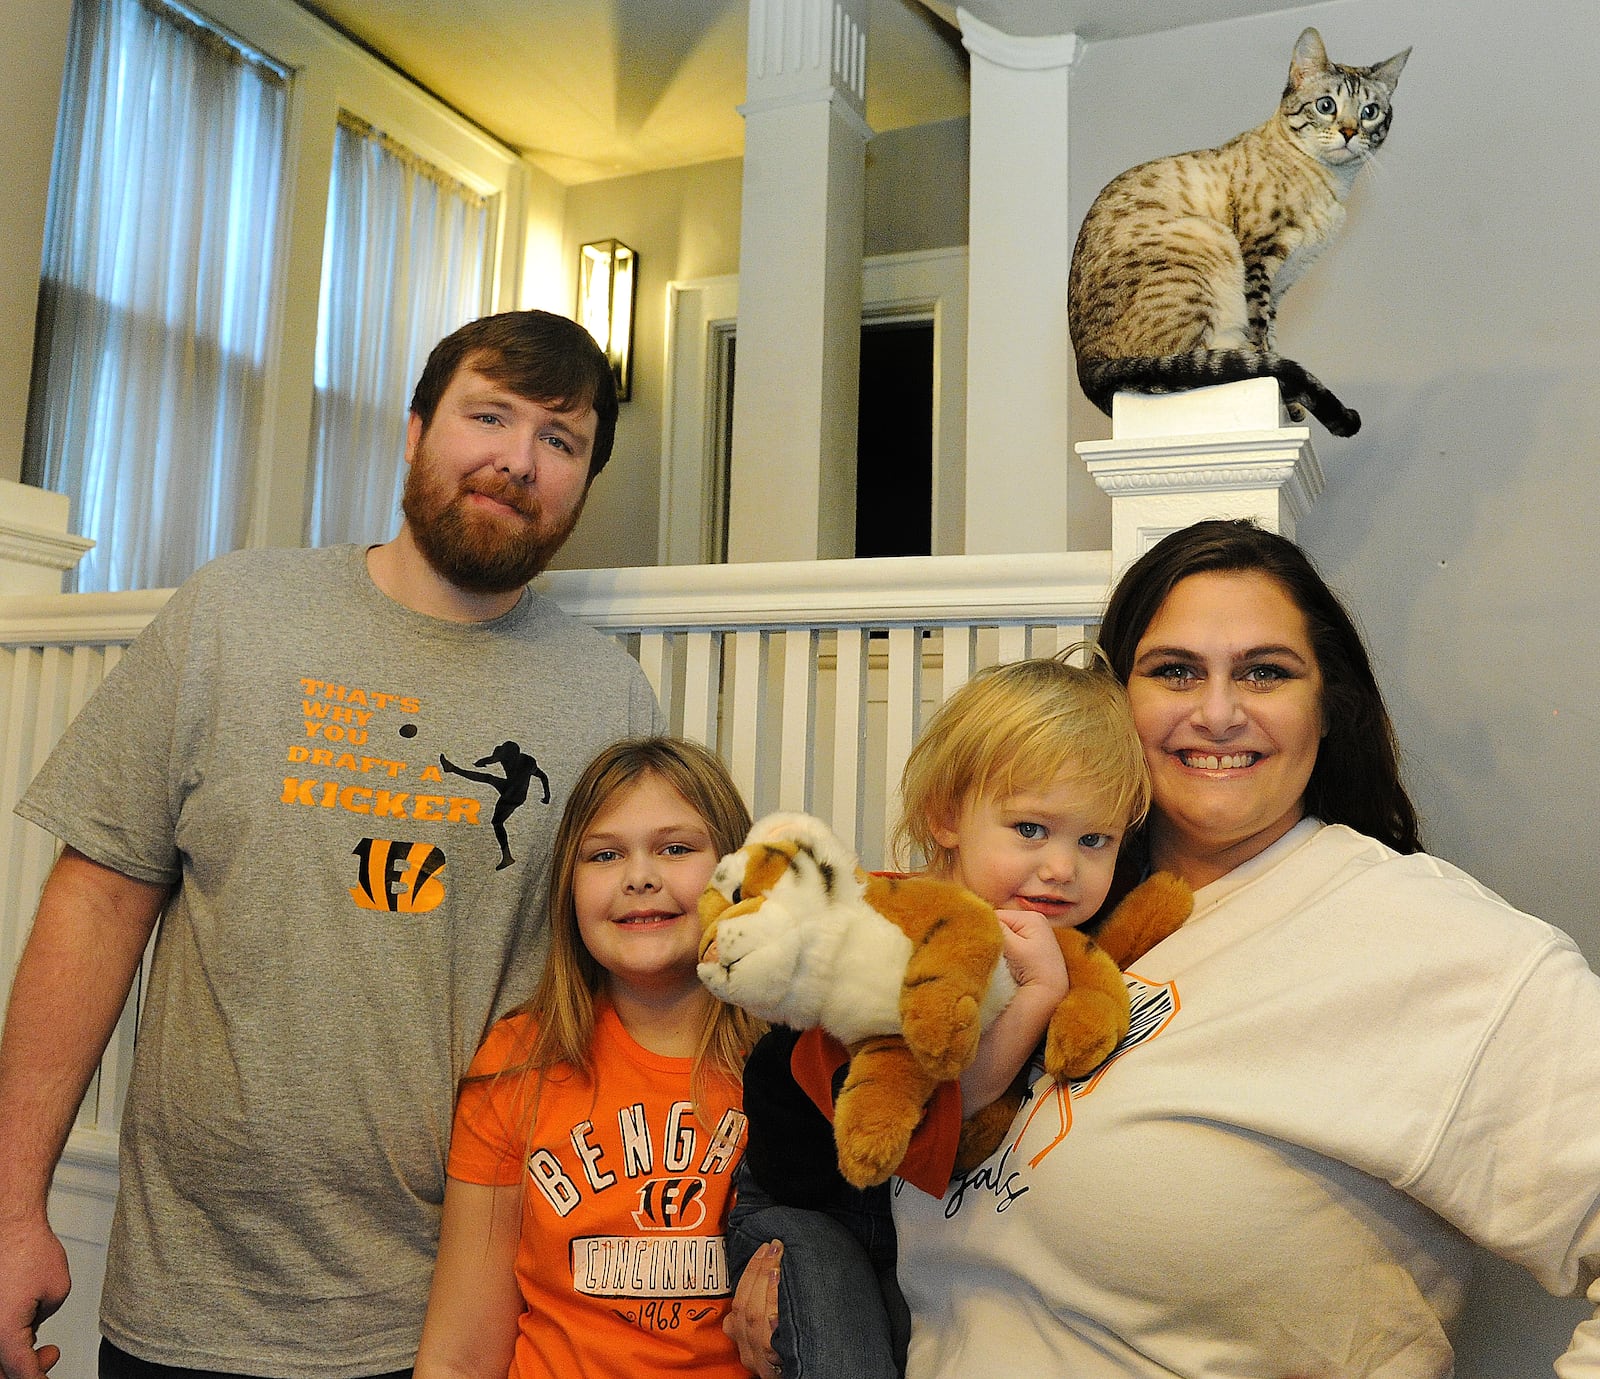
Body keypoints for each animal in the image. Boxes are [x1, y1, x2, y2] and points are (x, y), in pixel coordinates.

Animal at [1068, 28, 1408, 438]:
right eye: (1326, 105)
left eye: (1370, 112)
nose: (1348, 132)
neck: (1334, 186)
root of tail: (1086, 369)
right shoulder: (1259, 257)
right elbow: (1261, 343)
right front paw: (1283, 398)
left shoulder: (1282, 282)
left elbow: (1272, 341)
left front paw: (1290, 409)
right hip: (1208, 241)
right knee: (1197, 366)